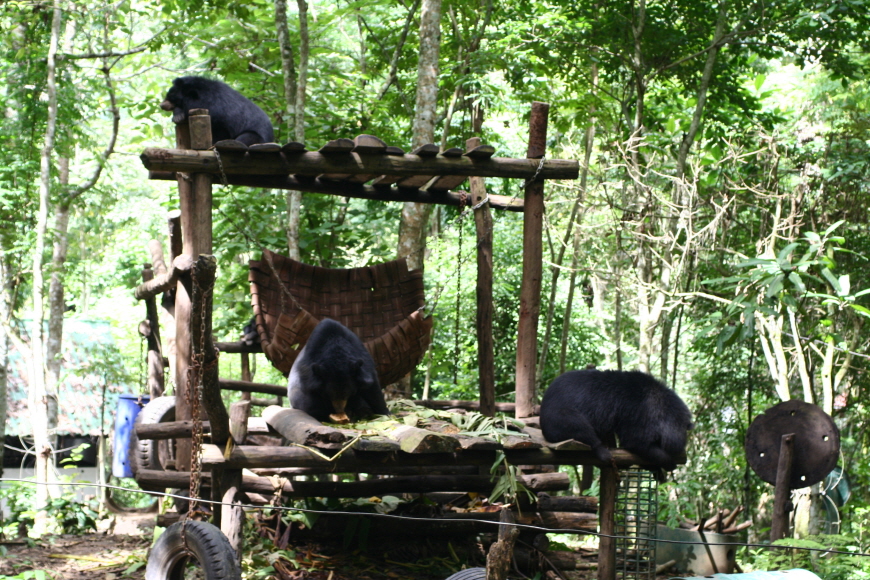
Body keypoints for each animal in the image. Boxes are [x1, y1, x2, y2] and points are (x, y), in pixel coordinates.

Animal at [540, 370, 696, 478]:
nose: (681, 449)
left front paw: (657, 471)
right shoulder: (639, 413)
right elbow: (637, 442)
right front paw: (669, 463)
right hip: (559, 416)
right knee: (578, 426)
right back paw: (604, 452)